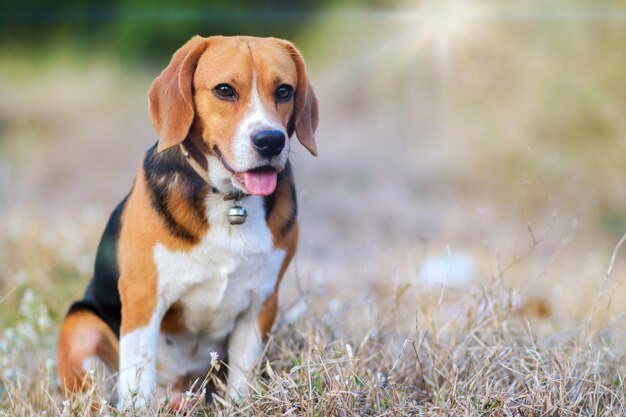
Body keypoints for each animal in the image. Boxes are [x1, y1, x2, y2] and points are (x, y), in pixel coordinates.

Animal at [56, 35, 316, 406]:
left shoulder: (261, 304)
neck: (230, 201)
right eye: (224, 90)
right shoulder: (143, 297)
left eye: (284, 90)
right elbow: (138, 379)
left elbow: (242, 381)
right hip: (82, 326)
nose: (270, 141)